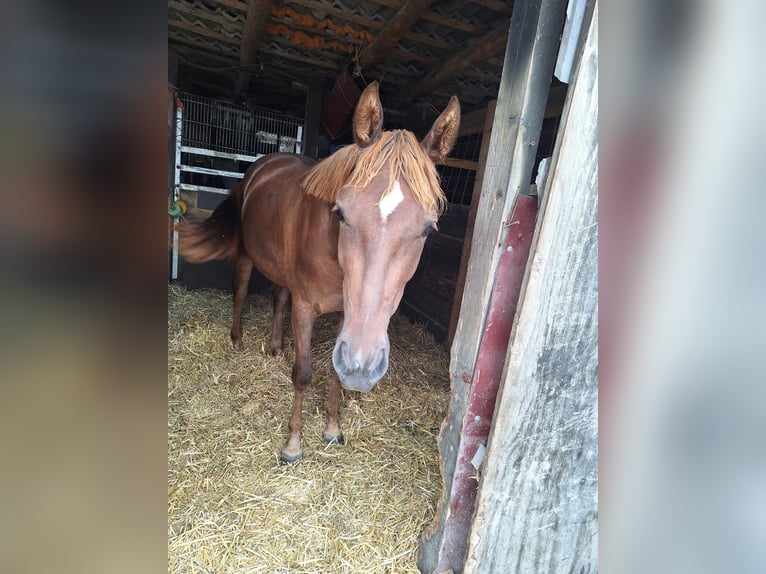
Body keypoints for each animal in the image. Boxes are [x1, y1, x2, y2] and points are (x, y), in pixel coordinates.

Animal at [177, 82, 460, 462]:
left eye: (429, 228)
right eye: (341, 212)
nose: (362, 367)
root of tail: (263, 165)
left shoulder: (346, 317)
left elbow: (335, 374)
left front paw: (332, 428)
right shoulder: (306, 308)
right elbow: (303, 373)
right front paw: (293, 444)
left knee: (279, 297)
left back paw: (275, 346)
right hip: (247, 256)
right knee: (240, 291)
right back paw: (237, 340)